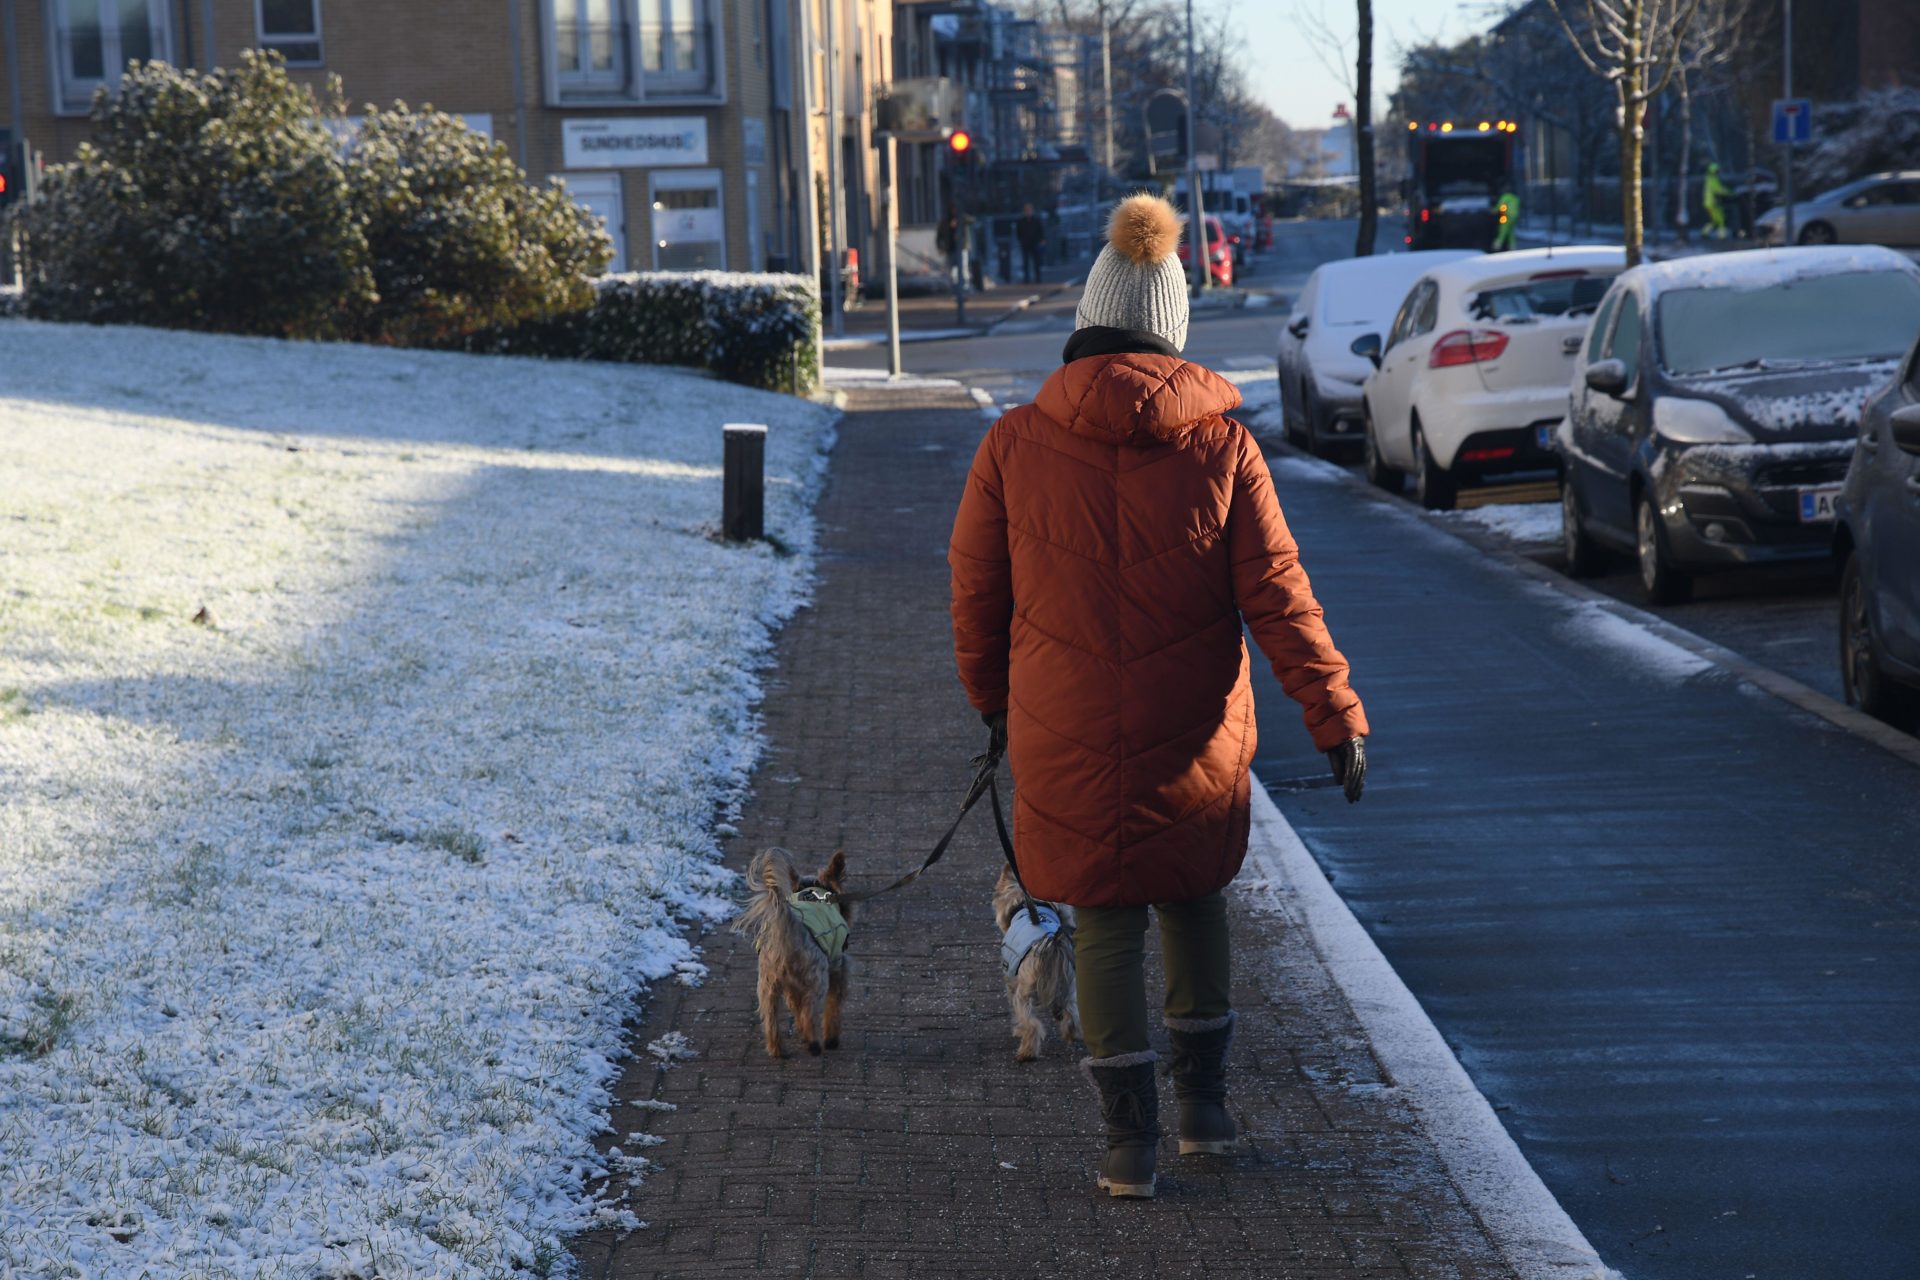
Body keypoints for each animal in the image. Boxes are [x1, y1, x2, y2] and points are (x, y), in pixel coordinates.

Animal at [733, 852, 856, 1059]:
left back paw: (777, 1049)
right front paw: (831, 1039)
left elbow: (796, 1008)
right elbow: (833, 1007)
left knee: (771, 1018)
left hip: (768, 984)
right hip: (817, 979)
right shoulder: (838, 966)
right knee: (809, 1012)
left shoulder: (792, 986)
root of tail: (789, 929)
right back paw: (814, 1045)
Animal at [998, 867, 1075, 1066]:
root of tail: (1051, 942)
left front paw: (1018, 1031)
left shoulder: (1011, 978)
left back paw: (1026, 1053)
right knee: (1072, 1010)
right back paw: (1071, 1034)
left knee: (1031, 1023)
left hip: (1024, 991)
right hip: (1069, 981)